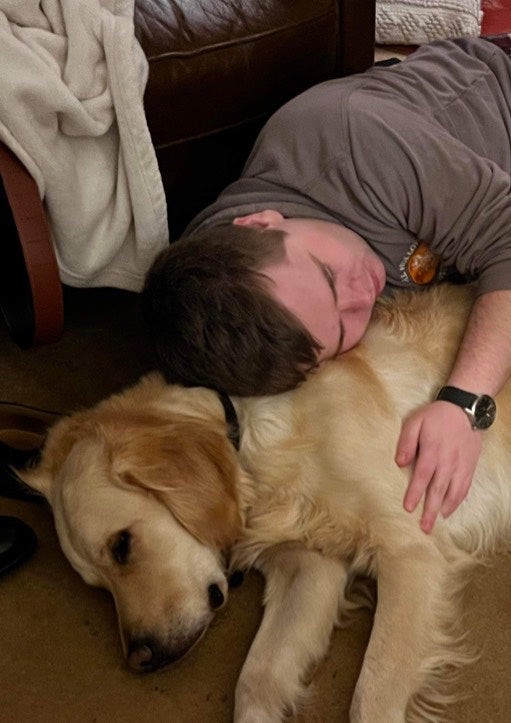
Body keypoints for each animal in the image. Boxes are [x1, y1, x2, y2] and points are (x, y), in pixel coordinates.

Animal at [17, 284, 511, 722]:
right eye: (97, 586)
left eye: (122, 545)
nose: (141, 657)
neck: (252, 448)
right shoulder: (310, 569)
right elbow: (256, 680)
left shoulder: (410, 551)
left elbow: (371, 695)